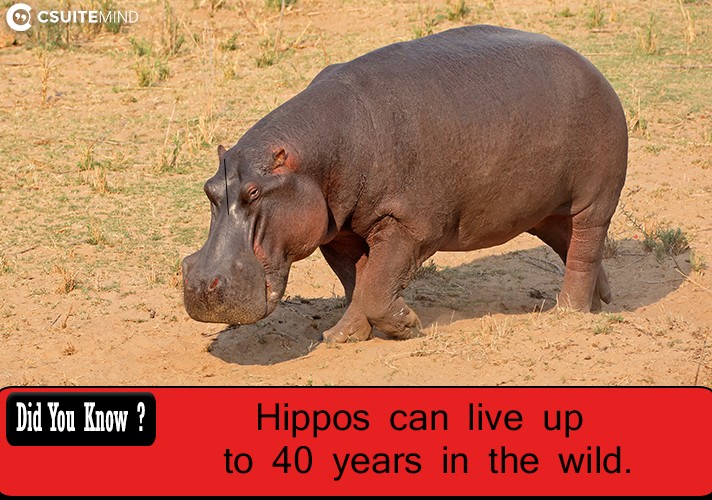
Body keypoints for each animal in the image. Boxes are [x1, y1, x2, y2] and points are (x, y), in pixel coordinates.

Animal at [183, 25, 628, 342]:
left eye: (254, 192)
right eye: (208, 189)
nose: (201, 284)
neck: (316, 152)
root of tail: (592, 67)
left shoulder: (410, 226)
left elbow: (377, 286)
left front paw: (408, 326)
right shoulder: (339, 233)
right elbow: (360, 282)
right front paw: (341, 336)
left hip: (595, 198)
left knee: (585, 246)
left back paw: (569, 312)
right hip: (542, 209)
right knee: (570, 243)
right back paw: (602, 300)